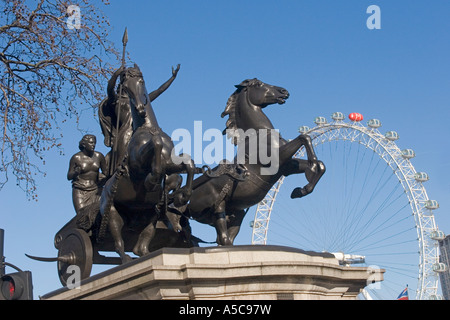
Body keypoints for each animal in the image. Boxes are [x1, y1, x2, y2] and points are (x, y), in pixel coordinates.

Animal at [101, 63, 196, 262]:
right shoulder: (137, 166)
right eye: (126, 87)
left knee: (141, 245)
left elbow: (188, 162)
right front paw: (152, 180)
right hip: (111, 212)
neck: (149, 129)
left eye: (141, 82)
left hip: (149, 214)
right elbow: (156, 146)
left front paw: (184, 195)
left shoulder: (170, 164)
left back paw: (146, 254)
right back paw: (126, 259)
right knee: (118, 242)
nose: (139, 108)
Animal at [171, 79, 326, 246]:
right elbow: (305, 137)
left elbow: (320, 164)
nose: (284, 91)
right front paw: (310, 173)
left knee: (225, 239)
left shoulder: (287, 167)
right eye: (258, 84)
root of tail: (185, 201)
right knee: (223, 239)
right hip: (217, 207)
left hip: (236, 213)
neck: (258, 134)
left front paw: (301, 189)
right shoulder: (278, 160)